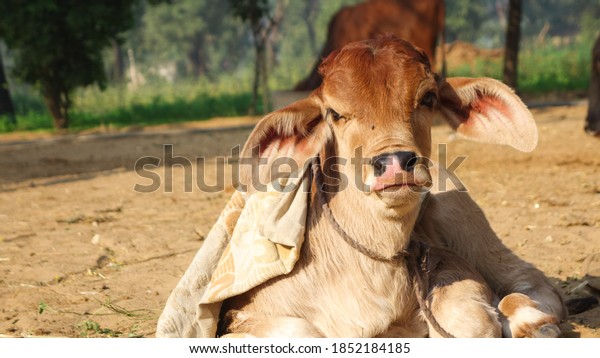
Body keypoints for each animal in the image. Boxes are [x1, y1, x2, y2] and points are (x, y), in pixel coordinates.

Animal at [205, 36, 568, 338]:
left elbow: (469, 318)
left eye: (428, 98)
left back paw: (536, 323)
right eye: (335, 113)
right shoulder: (243, 317)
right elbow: (300, 332)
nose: (395, 162)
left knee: (529, 280)